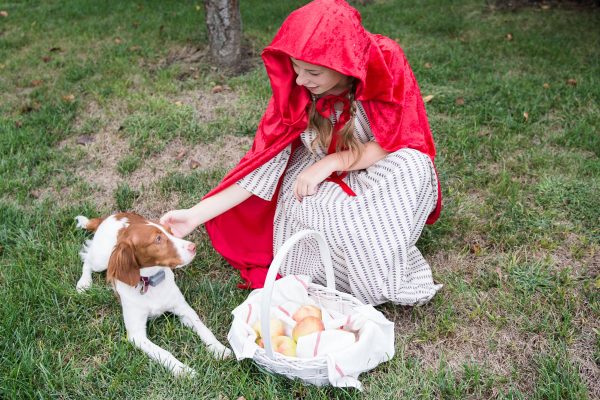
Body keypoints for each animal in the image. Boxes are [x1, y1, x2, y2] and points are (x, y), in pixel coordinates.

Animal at [76, 212, 231, 376]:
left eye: (170, 231)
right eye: (158, 239)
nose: (193, 246)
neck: (150, 282)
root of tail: (113, 215)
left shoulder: (183, 309)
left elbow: (203, 328)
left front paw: (219, 348)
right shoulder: (136, 335)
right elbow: (163, 353)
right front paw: (184, 371)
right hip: (101, 260)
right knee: (87, 260)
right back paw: (84, 283)